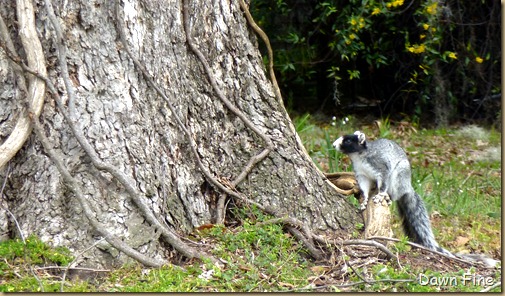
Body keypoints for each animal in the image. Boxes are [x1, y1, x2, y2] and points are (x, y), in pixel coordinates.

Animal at [330, 132, 500, 268]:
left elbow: (383, 181)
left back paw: (387, 196)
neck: (360, 156)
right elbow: (364, 188)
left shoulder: (380, 166)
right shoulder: (362, 174)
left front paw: (380, 194)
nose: (333, 144)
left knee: (394, 191)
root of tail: (407, 187)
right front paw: (365, 199)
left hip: (399, 176)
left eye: (348, 141)